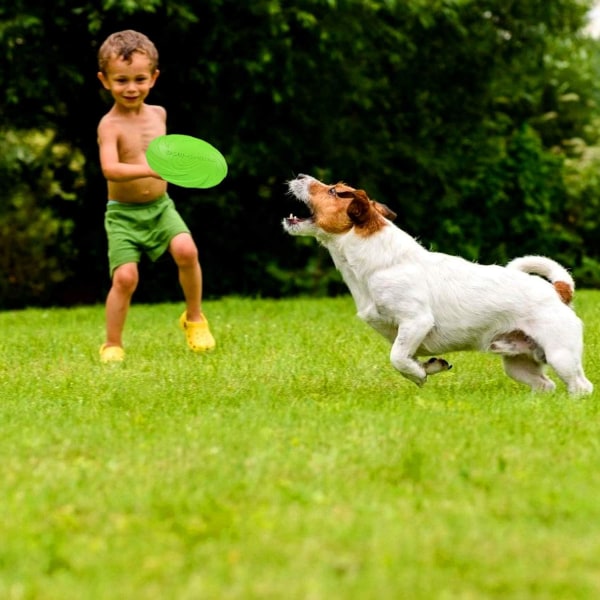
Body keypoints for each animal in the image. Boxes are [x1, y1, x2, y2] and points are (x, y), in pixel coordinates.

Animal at [284, 173, 592, 396]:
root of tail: (559, 290)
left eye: (334, 191)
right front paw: (430, 366)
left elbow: (397, 357)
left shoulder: (416, 321)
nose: (299, 174)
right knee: (545, 385)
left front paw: (420, 374)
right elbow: (407, 357)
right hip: (518, 363)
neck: (378, 260)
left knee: (581, 386)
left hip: (561, 354)